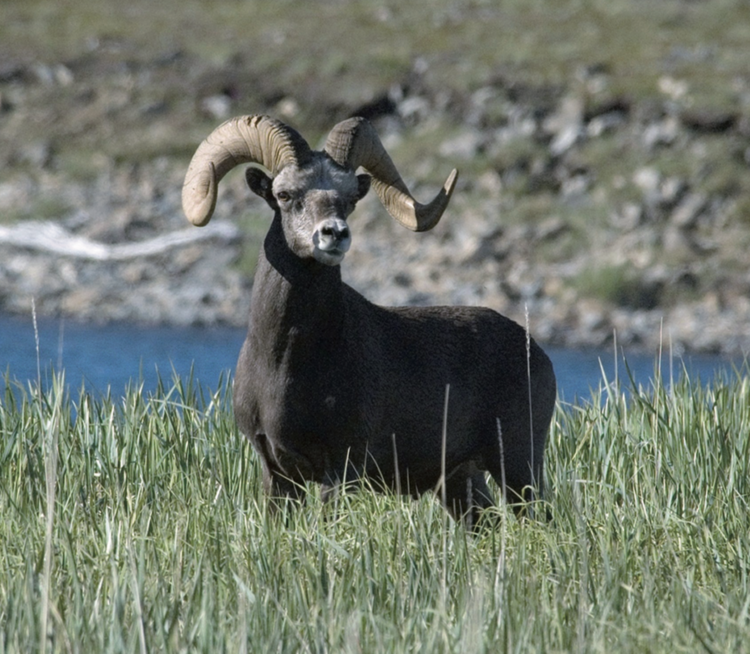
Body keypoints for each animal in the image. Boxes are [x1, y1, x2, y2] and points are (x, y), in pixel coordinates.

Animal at [182, 115, 557, 526]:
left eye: (349, 200)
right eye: (284, 195)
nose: (334, 234)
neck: (284, 363)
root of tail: (536, 352)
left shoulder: (341, 471)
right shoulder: (278, 474)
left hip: (519, 466)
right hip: (461, 483)